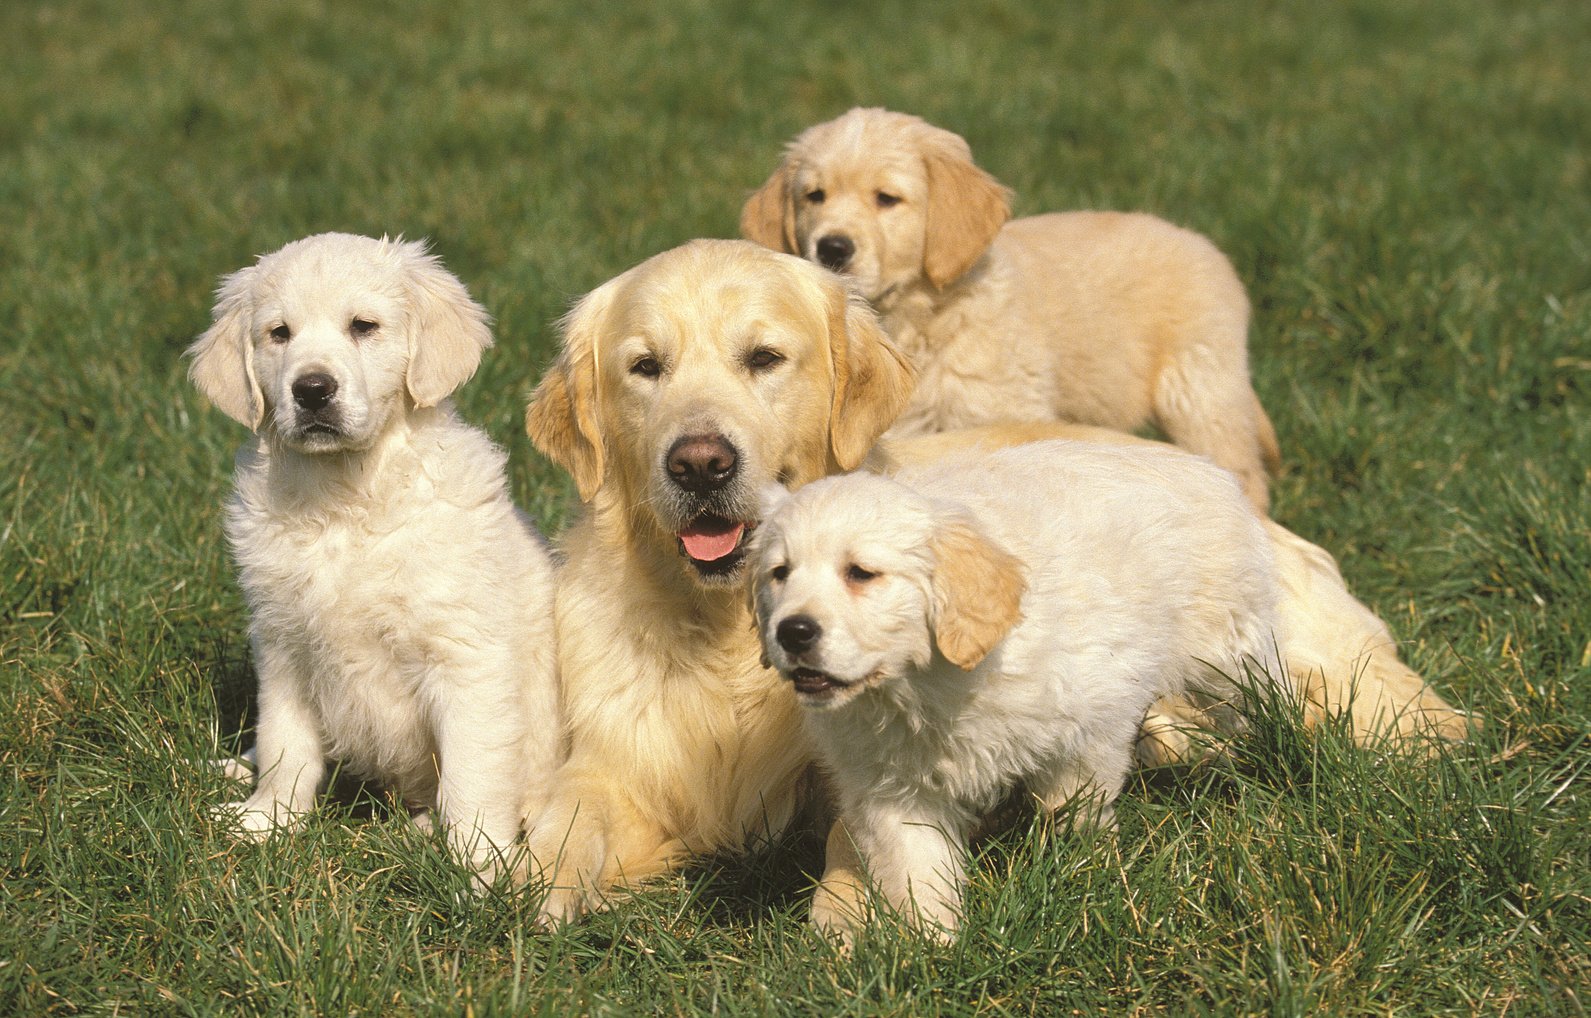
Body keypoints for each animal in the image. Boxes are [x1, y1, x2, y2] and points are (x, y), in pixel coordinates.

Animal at [186, 232, 563, 878]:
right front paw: (266, 821)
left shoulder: (467, 659)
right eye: (278, 334)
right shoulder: (284, 644)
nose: (312, 390)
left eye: (364, 326)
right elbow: (286, 742)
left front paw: (476, 871)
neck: (345, 500)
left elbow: (472, 777)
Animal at [521, 238, 916, 922]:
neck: (729, 629)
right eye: (646, 366)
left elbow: (857, 831)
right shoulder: (615, 760)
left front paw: (847, 915)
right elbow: (574, 809)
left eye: (764, 358)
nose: (700, 465)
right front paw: (547, 877)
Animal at [741, 109, 1279, 515]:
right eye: (814, 196)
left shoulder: (1001, 412)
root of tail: (1207, 247)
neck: (919, 318)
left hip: (1201, 391)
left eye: (887, 199)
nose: (831, 247)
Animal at [754, 439, 1291, 941]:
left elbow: (1074, 808)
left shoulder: (1092, 722)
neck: (920, 687)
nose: (792, 632)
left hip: (1228, 652)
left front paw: (1081, 874)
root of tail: (1203, 467)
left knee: (1260, 700)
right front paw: (931, 948)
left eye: (861, 573)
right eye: (780, 574)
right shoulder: (891, 788)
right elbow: (916, 871)